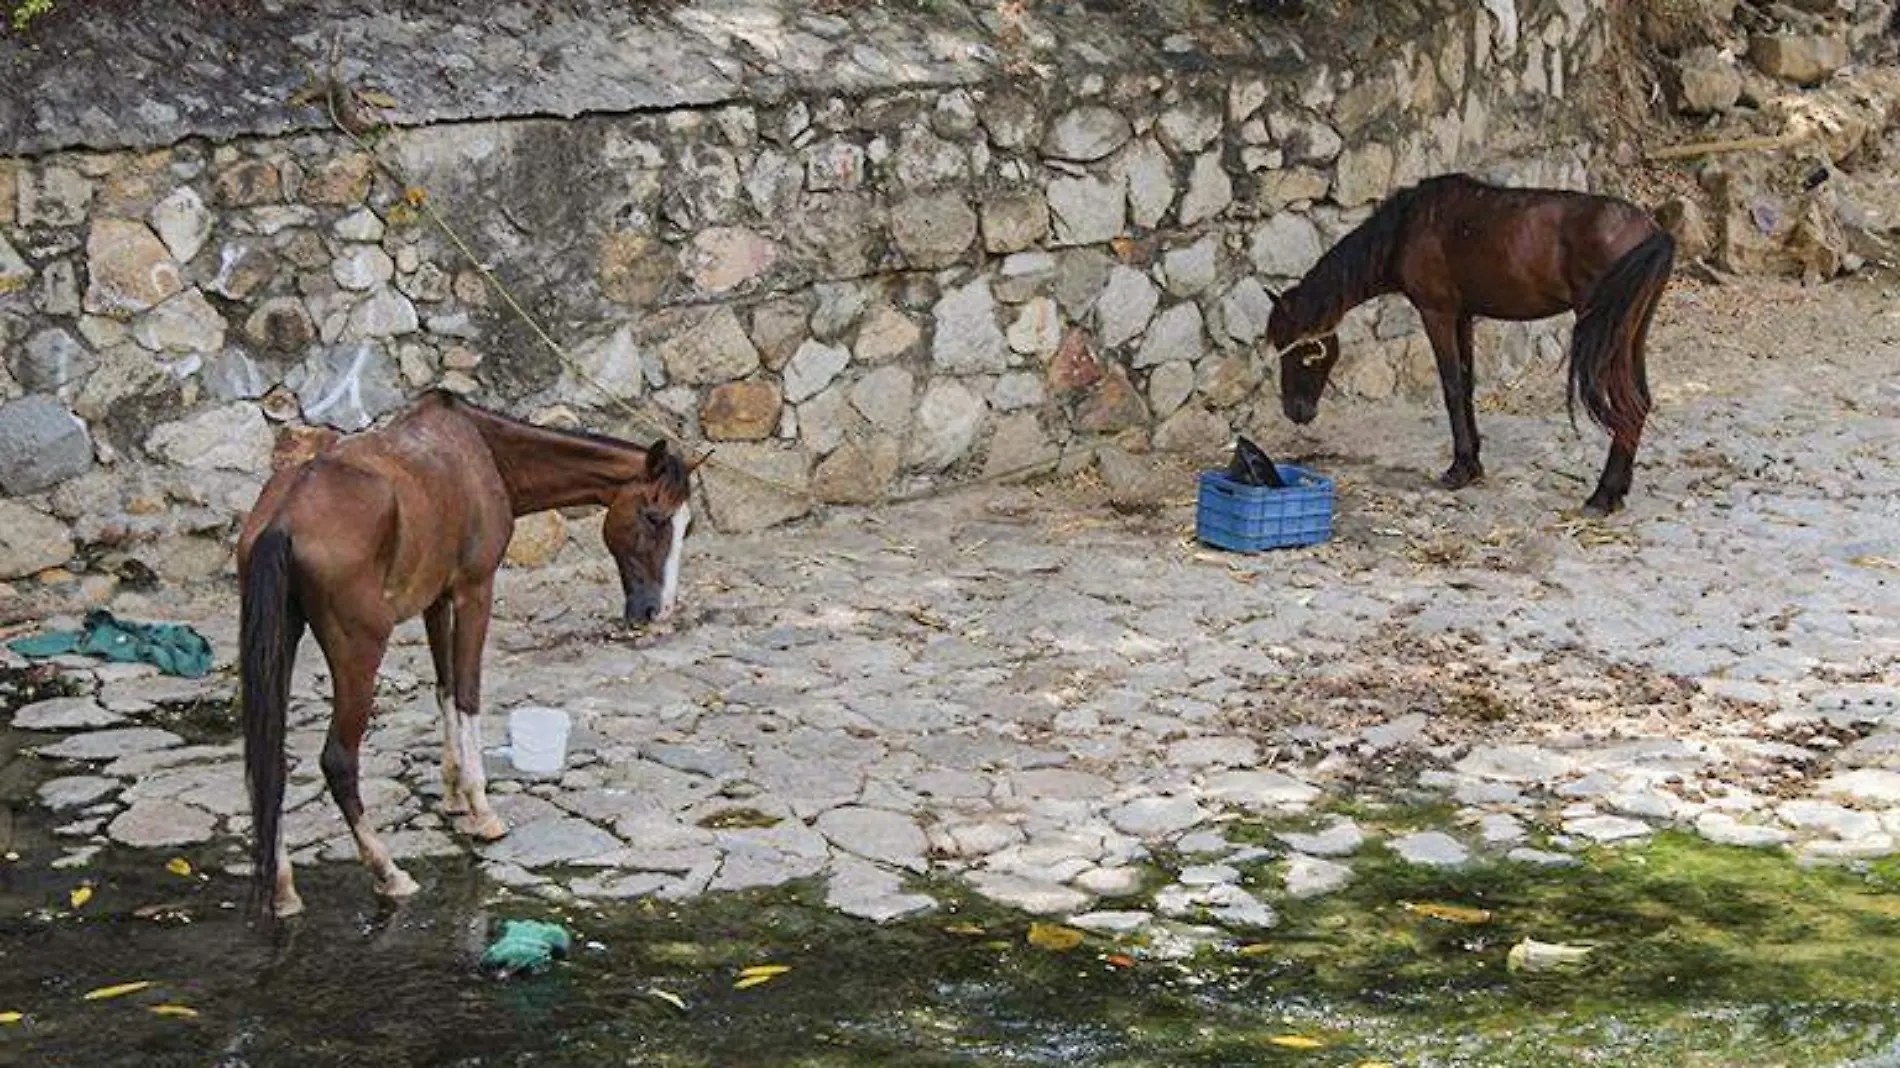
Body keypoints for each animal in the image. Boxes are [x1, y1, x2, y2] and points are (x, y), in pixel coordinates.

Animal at [237, 391, 699, 915]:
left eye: (686, 527)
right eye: (655, 518)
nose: (657, 609)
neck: (482, 451)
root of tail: (283, 518)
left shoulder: (437, 599)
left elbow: (444, 688)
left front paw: (454, 792)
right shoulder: (475, 590)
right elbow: (468, 693)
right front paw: (481, 807)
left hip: (279, 645)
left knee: (268, 761)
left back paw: (282, 885)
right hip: (359, 652)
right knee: (337, 760)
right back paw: (387, 871)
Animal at [1269, 174, 1672, 516]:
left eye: (1295, 349)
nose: (1295, 411)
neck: (1408, 226)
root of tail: (1654, 233)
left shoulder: (1437, 313)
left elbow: (1451, 387)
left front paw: (1459, 468)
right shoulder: (1463, 316)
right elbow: (1466, 386)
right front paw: (1473, 461)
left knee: (1628, 406)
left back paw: (1602, 496)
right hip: (1632, 336)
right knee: (1640, 402)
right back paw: (1616, 490)